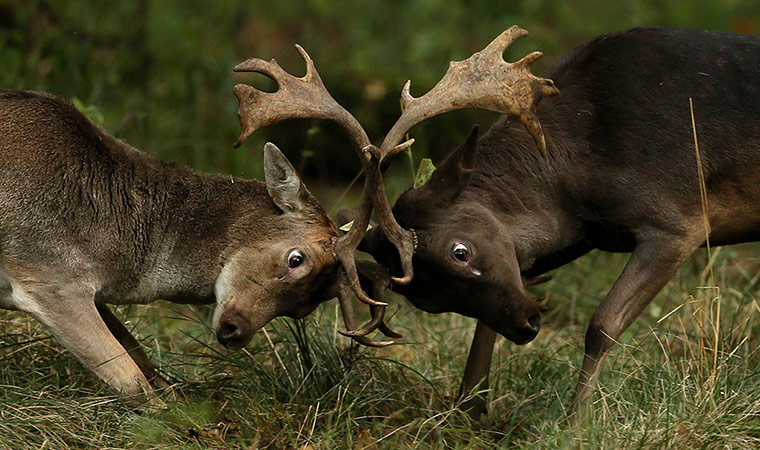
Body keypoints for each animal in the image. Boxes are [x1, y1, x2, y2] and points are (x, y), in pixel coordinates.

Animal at [0, 89, 398, 400]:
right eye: (296, 259)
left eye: (305, 308)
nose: (235, 330)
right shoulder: (50, 273)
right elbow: (133, 382)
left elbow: (143, 363)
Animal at [342, 27, 760, 414]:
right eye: (428, 301)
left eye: (460, 251)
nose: (527, 325)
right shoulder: (578, 235)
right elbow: (485, 330)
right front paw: (469, 410)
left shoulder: (679, 218)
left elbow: (603, 325)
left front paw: (576, 419)